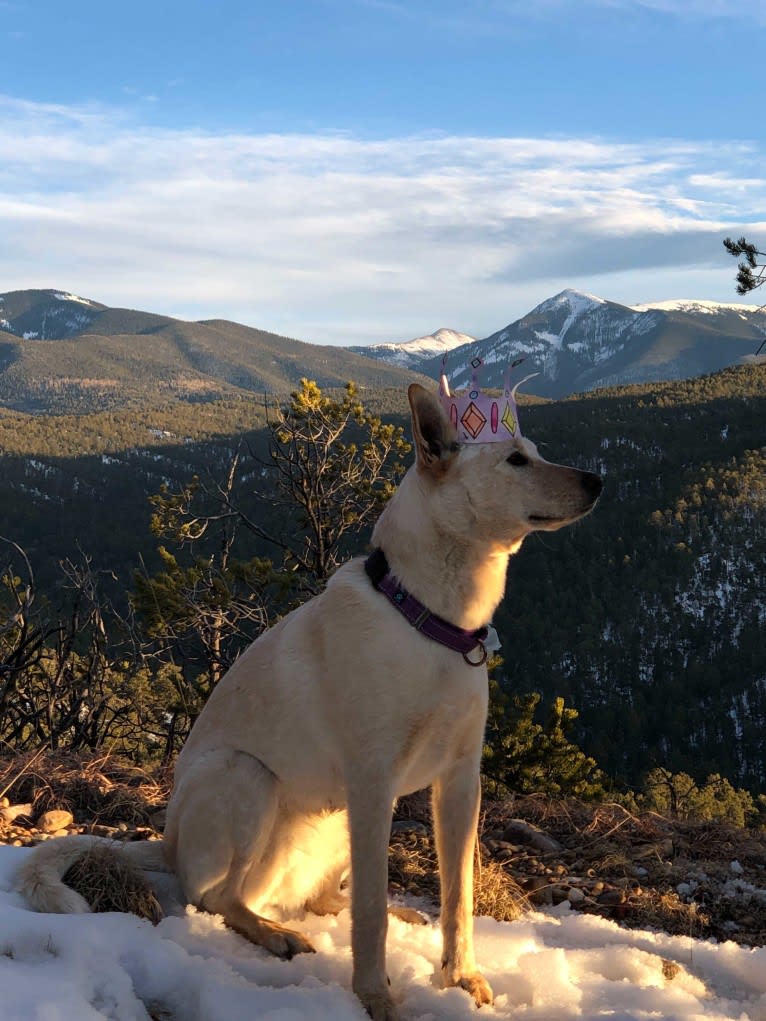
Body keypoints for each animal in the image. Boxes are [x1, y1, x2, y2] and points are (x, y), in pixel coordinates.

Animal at [16, 379, 600, 1016]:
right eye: (516, 460)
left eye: (535, 451)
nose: (597, 480)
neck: (428, 620)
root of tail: (165, 844)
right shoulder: (373, 784)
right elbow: (369, 917)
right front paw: (374, 997)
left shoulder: (460, 784)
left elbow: (457, 899)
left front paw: (462, 977)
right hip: (246, 776)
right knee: (216, 897)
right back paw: (274, 933)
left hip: (332, 815)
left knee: (323, 899)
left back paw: (378, 914)